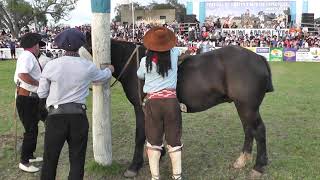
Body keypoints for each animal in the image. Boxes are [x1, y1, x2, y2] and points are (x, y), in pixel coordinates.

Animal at [82, 38, 272, 178]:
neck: (133, 64)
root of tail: (259, 58)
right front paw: (160, 155)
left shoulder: (140, 108)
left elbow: (140, 135)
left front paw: (134, 166)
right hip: (243, 107)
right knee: (249, 130)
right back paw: (242, 160)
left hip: (247, 107)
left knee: (259, 130)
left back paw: (259, 166)